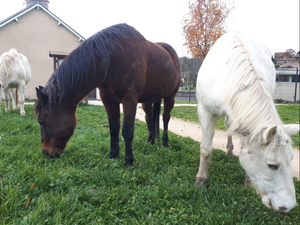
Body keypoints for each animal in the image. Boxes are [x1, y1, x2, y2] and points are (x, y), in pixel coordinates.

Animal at [35, 23, 180, 167]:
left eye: (42, 122)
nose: (46, 152)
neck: (112, 57)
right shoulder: (108, 99)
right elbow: (114, 128)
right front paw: (113, 155)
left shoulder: (129, 98)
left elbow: (127, 130)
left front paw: (128, 160)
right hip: (147, 101)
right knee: (149, 119)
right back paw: (150, 142)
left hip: (170, 97)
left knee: (165, 118)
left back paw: (165, 143)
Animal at [196, 31, 298, 213]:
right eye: (272, 165)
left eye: (292, 159)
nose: (287, 206)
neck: (227, 72)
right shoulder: (205, 112)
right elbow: (206, 149)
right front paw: (201, 179)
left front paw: (248, 180)